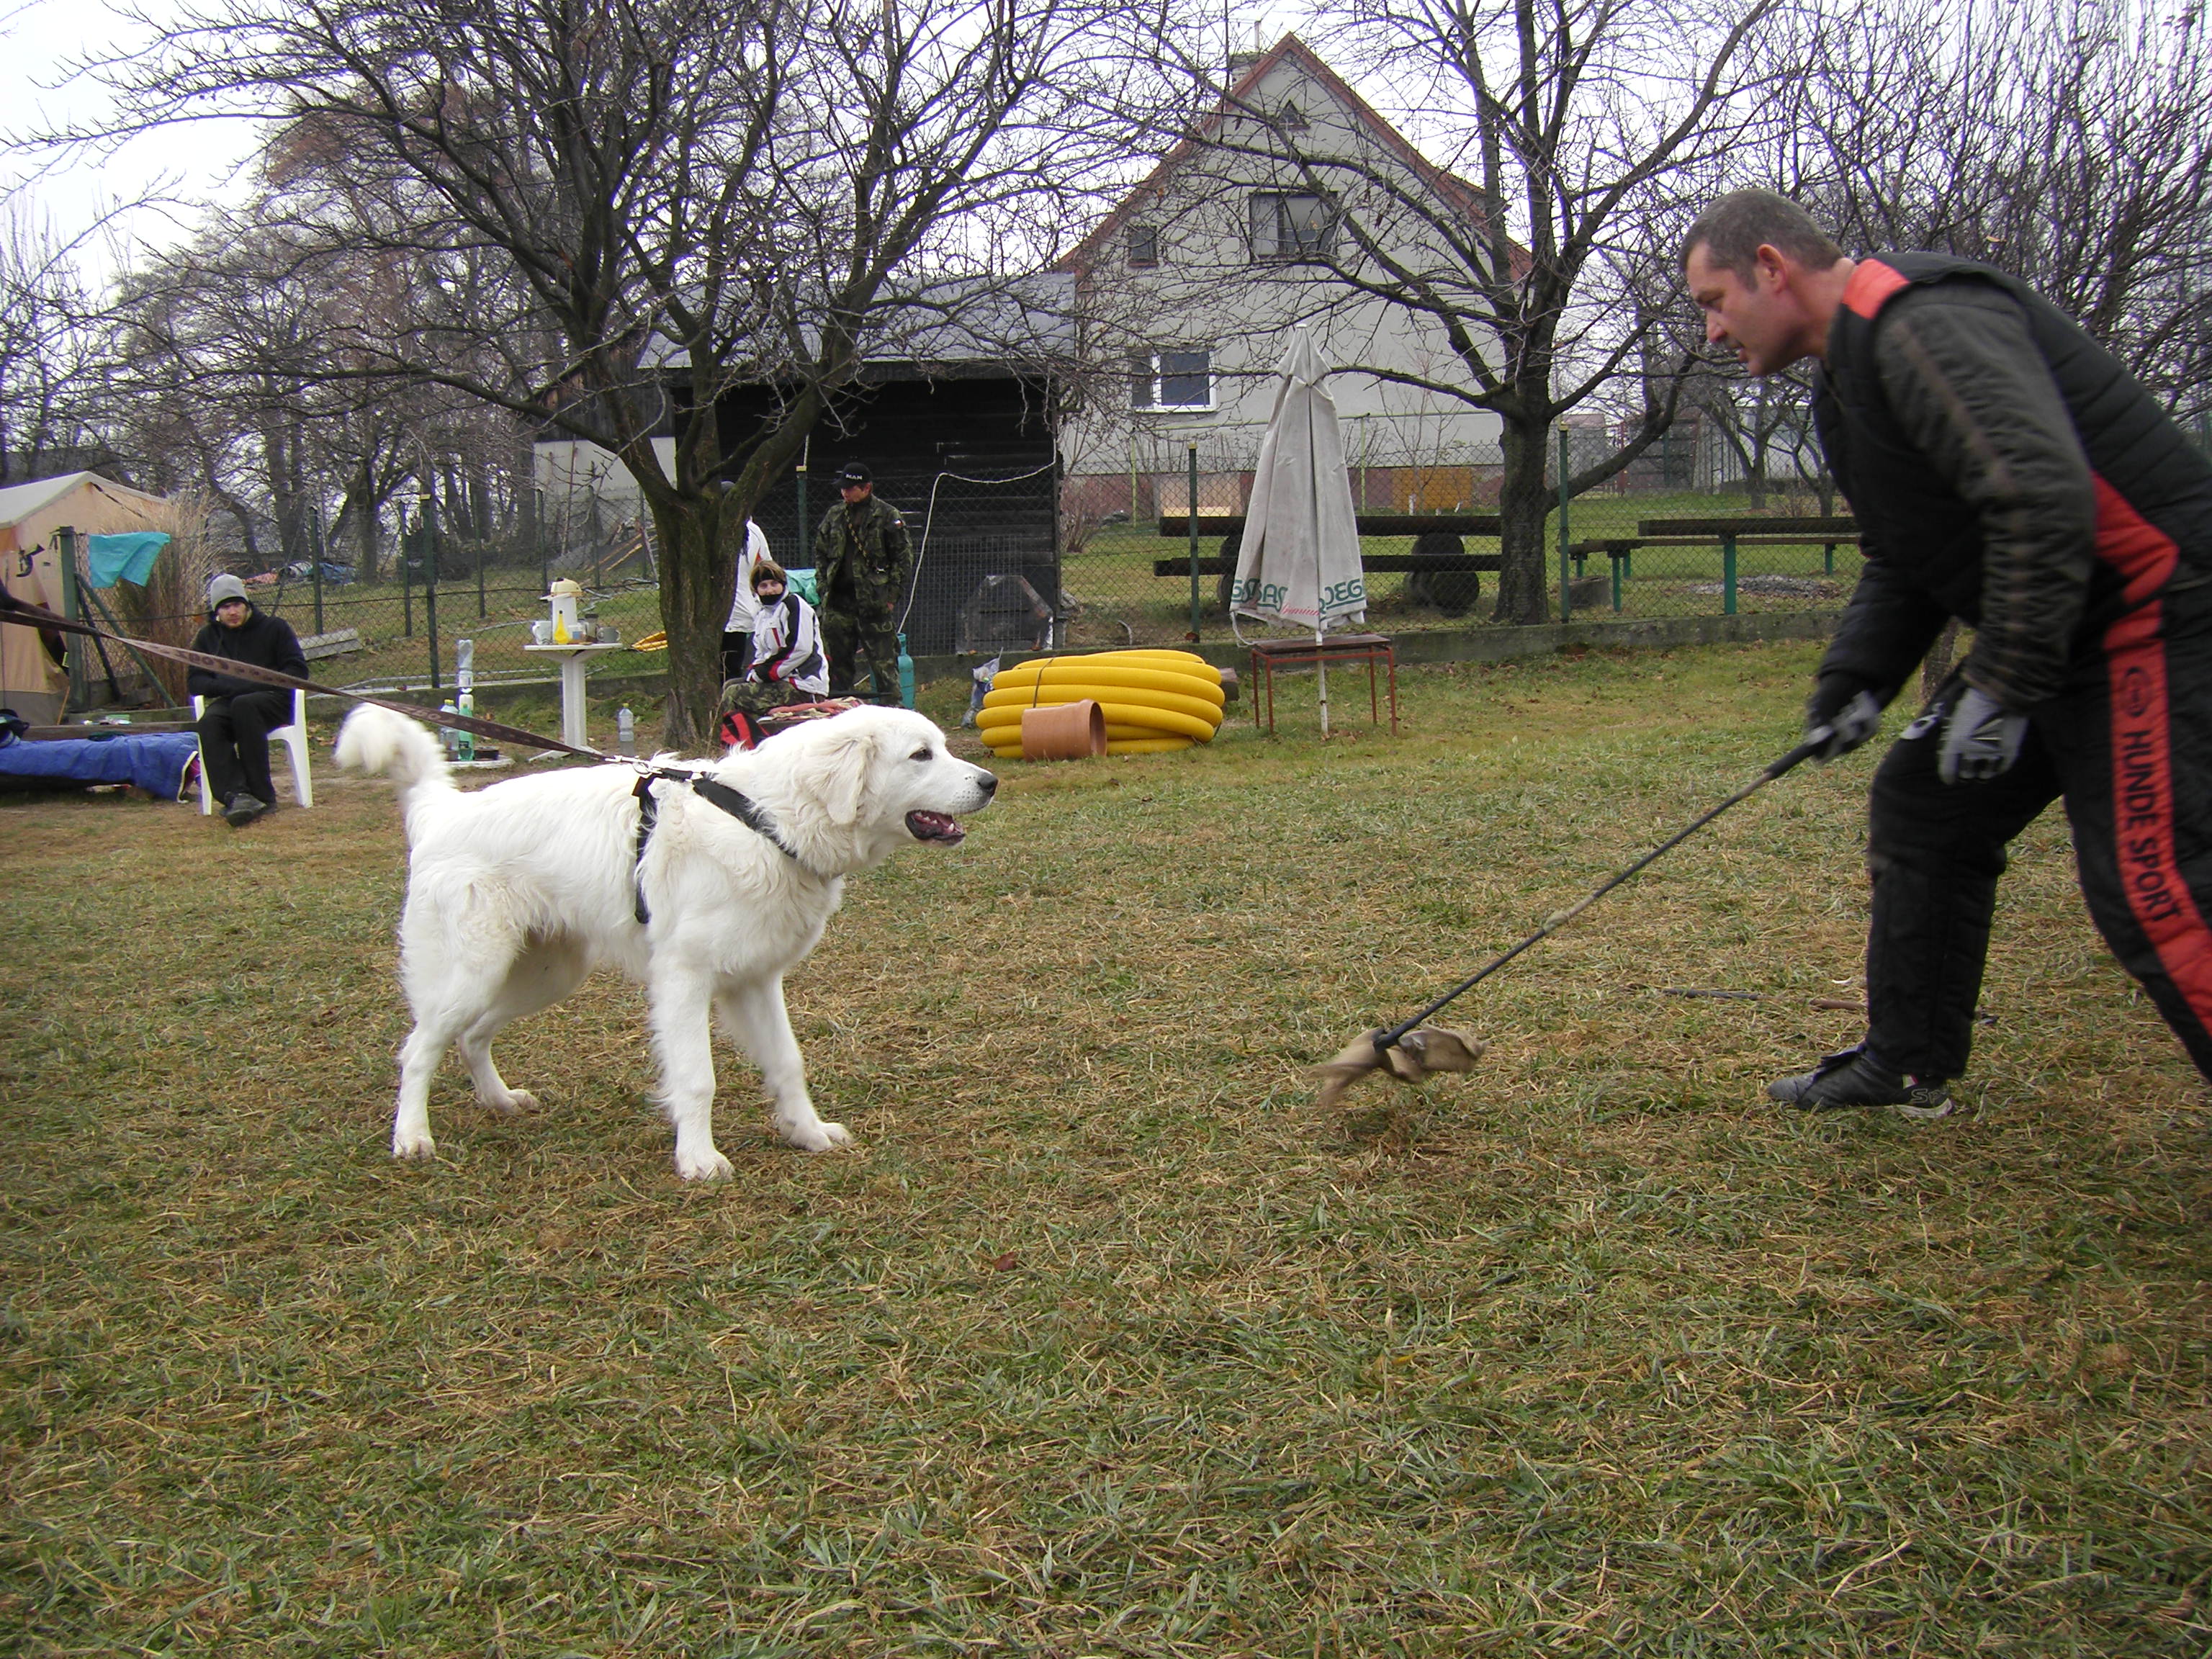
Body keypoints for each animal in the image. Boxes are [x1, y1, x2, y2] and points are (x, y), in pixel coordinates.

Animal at [331, 703, 999, 1185]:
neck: (766, 821)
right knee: (418, 1049)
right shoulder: (683, 982)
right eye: (921, 755)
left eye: (942, 748)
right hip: (474, 973)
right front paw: (698, 1161)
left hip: (543, 975)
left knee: (472, 1036)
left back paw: (498, 1100)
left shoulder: (757, 981)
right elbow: (698, 1079)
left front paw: (806, 1133)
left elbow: (789, 1063)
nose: (991, 782)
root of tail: (442, 811)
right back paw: (412, 1137)